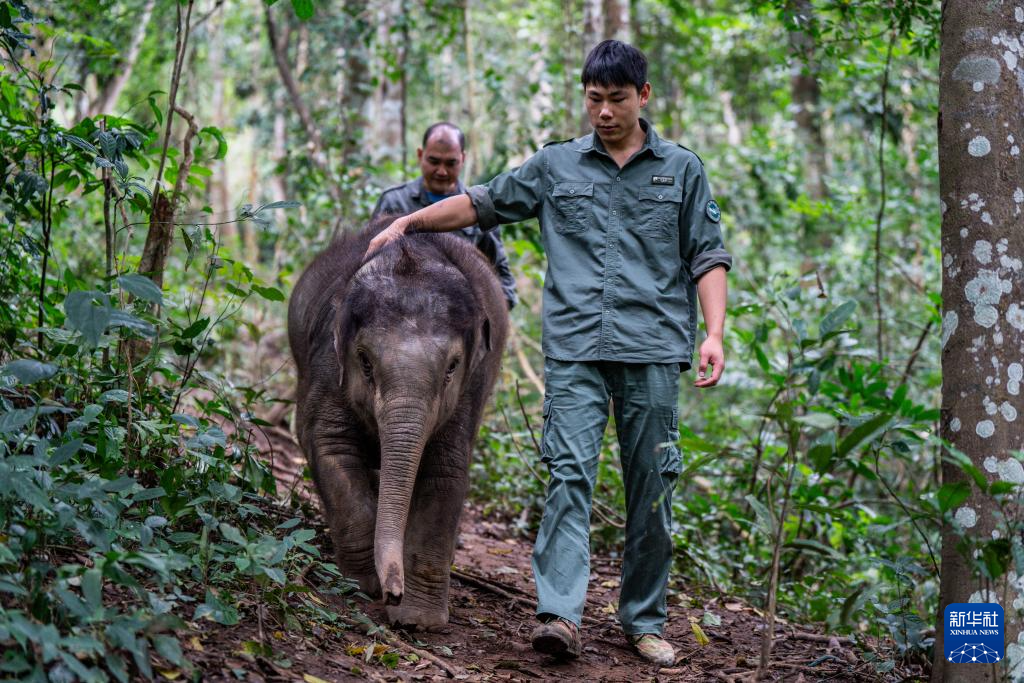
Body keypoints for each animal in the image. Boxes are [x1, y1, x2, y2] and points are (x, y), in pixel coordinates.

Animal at [286, 222, 509, 626]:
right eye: (365, 362)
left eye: (452, 367)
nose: (393, 593)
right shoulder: (328, 365)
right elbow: (330, 445)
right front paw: (363, 585)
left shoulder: (470, 389)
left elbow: (445, 470)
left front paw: (418, 619)